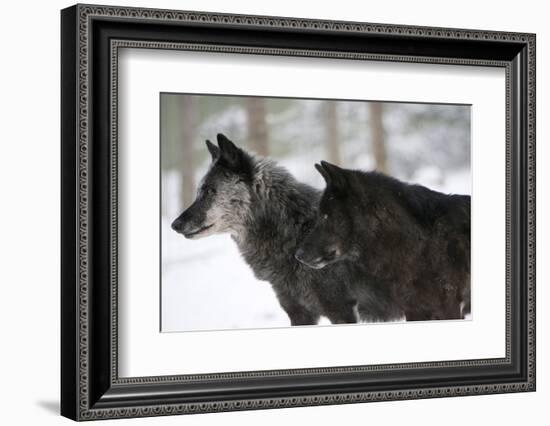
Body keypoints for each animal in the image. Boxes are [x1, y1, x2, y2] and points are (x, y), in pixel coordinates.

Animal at [171, 135, 366, 324]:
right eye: (199, 191)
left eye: (210, 191)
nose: (174, 225)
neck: (296, 232)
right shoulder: (298, 313)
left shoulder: (341, 312)